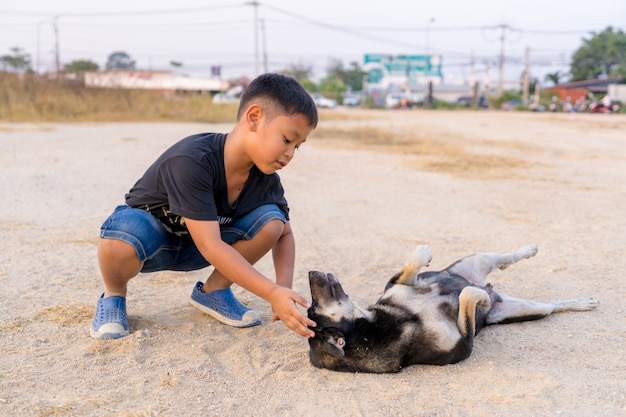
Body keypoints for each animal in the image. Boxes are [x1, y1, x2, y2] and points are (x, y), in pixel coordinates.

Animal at [304, 242, 596, 372]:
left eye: (311, 306)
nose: (310, 272)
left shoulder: (398, 282)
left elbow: (413, 262)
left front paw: (424, 253)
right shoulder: (465, 344)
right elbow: (467, 296)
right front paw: (480, 297)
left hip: (476, 259)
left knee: (505, 258)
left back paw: (529, 251)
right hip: (533, 310)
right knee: (552, 306)